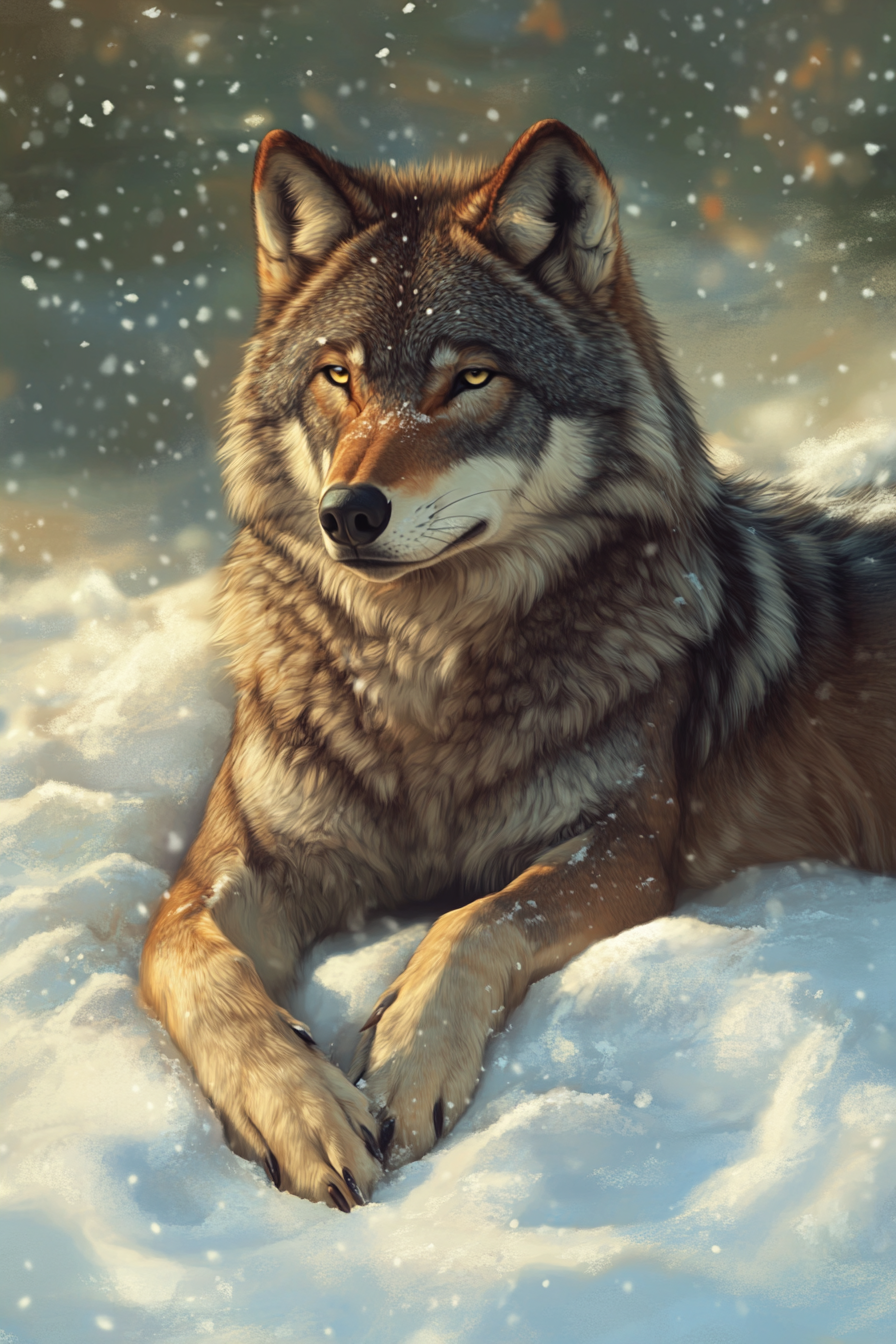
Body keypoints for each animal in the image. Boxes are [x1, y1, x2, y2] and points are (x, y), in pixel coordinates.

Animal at [140, 120, 896, 1211]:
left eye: (471, 378)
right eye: (338, 378)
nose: (347, 513)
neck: (418, 666)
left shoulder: (625, 845)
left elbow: (475, 918)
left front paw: (405, 1066)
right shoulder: (226, 868)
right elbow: (194, 966)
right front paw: (304, 1113)